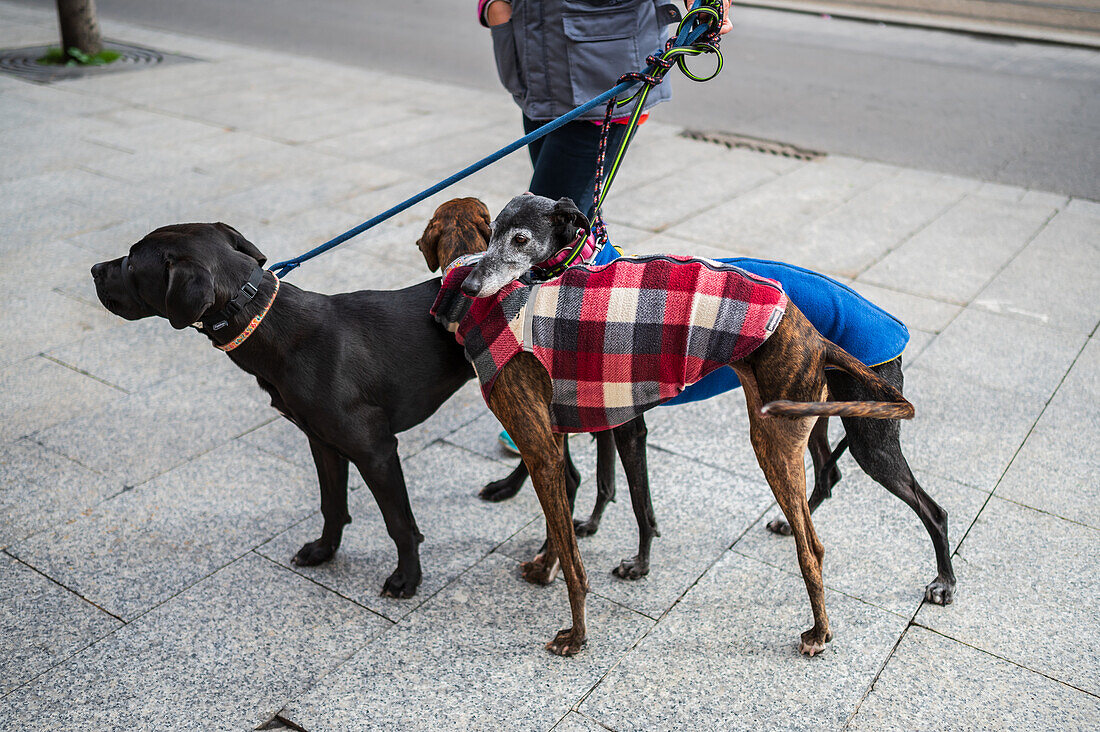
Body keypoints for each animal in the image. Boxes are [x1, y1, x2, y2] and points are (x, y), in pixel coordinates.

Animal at [94, 216, 486, 594]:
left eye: (132, 264)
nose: (94, 269)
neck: (267, 322)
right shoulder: (323, 443)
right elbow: (332, 505)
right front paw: (324, 551)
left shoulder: (376, 452)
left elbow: (399, 524)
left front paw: (408, 577)